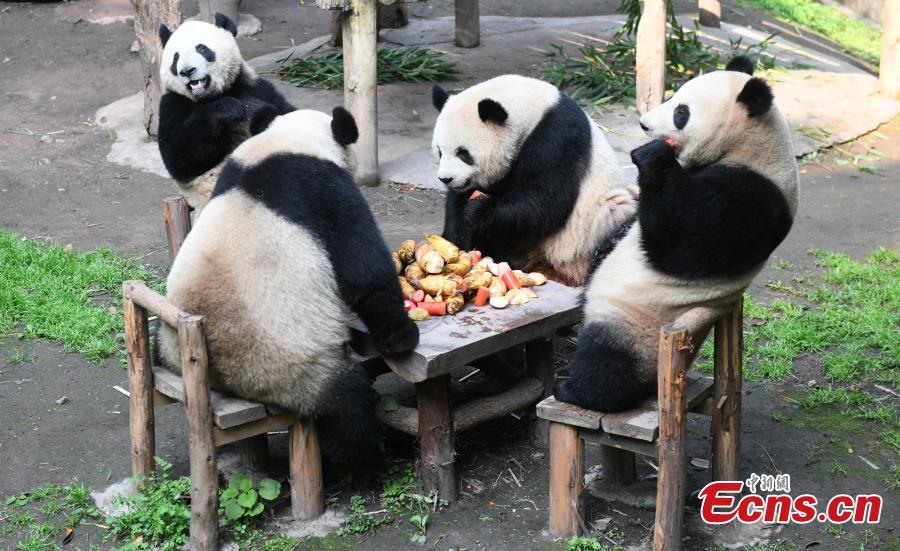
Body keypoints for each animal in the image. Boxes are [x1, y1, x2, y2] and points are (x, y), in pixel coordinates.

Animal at [156, 107, 420, 463]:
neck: (286, 140)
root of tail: (221, 377)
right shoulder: (324, 189)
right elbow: (363, 267)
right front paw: (402, 337)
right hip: (291, 367)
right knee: (348, 404)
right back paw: (365, 454)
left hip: (169, 340)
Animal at [157, 13, 294, 211]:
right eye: (175, 58)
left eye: (201, 48)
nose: (187, 71)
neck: (209, 96)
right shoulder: (172, 104)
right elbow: (180, 157)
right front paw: (231, 109)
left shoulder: (254, 87)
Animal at [431, 75, 637, 287]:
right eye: (440, 151)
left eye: (463, 153)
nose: (446, 178)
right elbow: (458, 203)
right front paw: (456, 243)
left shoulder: (558, 137)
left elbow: (543, 202)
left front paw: (479, 209)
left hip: (587, 231)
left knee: (615, 216)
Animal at [554, 56, 799, 412]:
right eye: (673, 96)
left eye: (681, 112)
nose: (643, 124)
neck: (751, 146)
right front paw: (609, 241)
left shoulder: (754, 197)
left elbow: (683, 242)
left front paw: (651, 155)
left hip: (637, 325)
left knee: (608, 361)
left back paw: (576, 389)